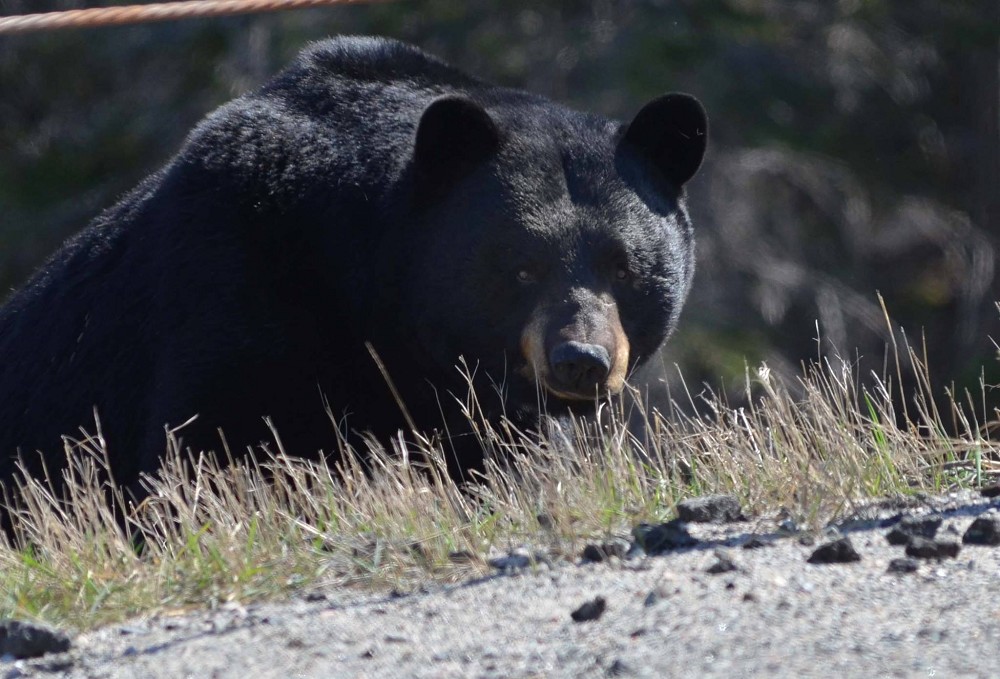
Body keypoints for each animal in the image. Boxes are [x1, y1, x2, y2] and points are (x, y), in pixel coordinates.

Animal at [0, 35, 708, 494]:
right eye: (522, 266)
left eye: (625, 267)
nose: (580, 361)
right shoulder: (228, 287)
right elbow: (204, 447)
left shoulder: (474, 402)